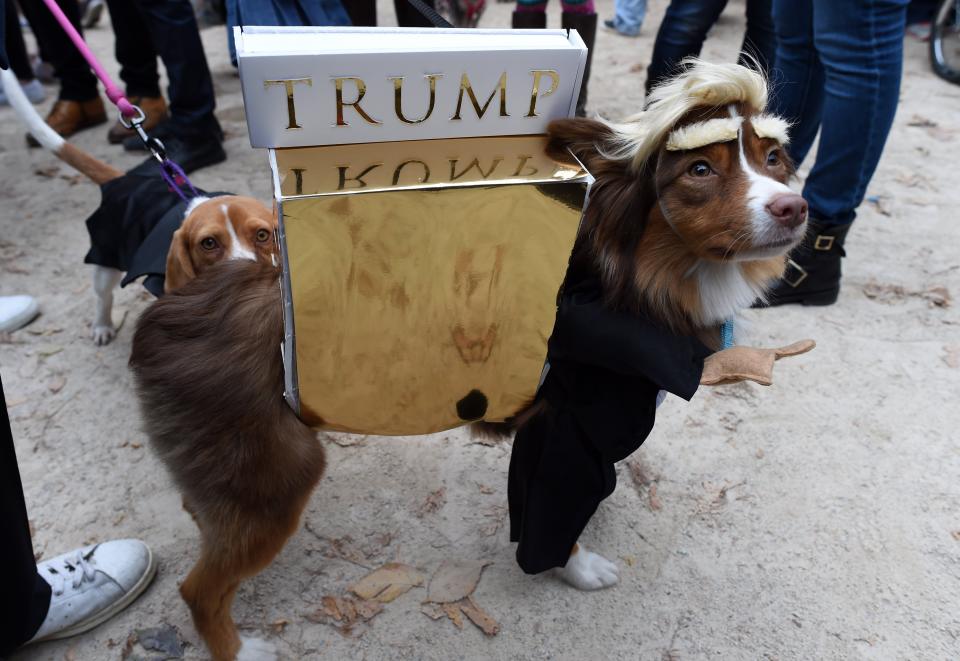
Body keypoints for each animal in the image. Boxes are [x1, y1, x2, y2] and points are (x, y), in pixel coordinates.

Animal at [0, 68, 278, 346]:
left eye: (262, 235)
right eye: (208, 243)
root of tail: (124, 180)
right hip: (105, 262)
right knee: (103, 297)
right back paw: (102, 326)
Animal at [125, 59, 804, 656]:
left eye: (773, 158)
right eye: (698, 169)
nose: (793, 207)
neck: (636, 279)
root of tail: (171, 309)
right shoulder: (571, 439)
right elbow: (556, 520)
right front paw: (576, 568)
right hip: (276, 480)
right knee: (198, 590)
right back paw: (241, 648)